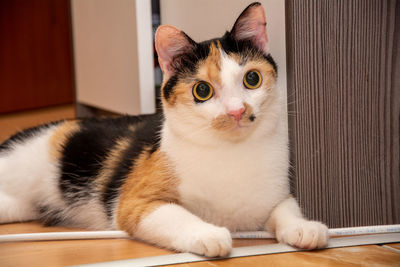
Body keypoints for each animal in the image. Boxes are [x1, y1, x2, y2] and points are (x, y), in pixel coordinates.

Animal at [0, 2, 328, 258]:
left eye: (252, 79)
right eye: (202, 90)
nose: (236, 111)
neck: (230, 152)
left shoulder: (276, 196)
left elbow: (286, 208)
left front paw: (305, 228)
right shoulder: (135, 201)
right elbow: (176, 215)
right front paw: (208, 234)